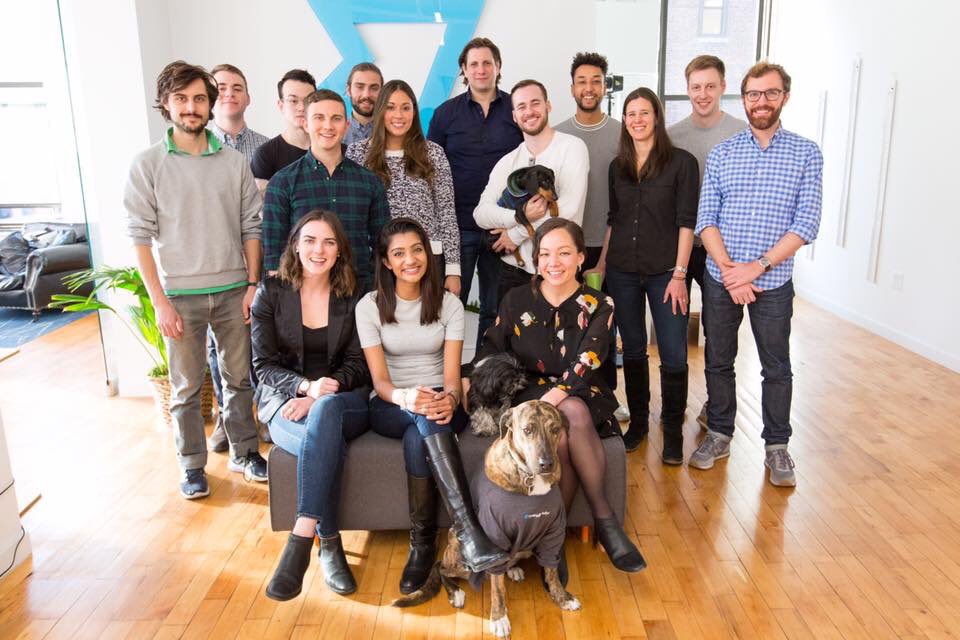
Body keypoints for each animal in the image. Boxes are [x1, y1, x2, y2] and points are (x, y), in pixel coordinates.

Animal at [393, 401, 581, 638]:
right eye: (527, 430)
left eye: (556, 429)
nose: (546, 464)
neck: (528, 478)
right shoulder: (495, 537)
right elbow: (497, 588)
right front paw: (499, 618)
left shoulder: (553, 531)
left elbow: (552, 570)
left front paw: (562, 598)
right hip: (461, 555)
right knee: (440, 568)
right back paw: (456, 592)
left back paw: (513, 569)